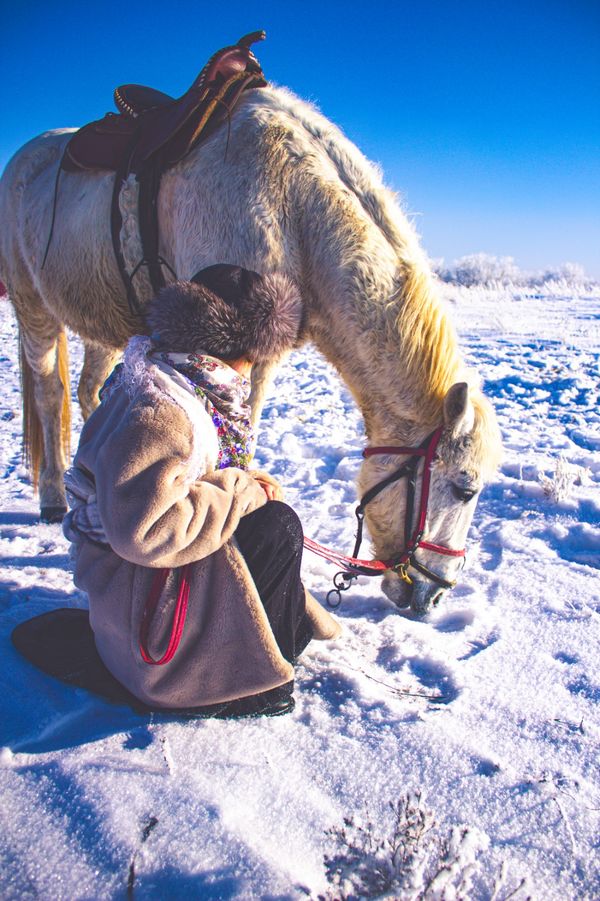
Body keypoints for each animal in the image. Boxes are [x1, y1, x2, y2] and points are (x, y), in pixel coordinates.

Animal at [0, 83, 502, 614]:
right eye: (465, 488)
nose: (434, 594)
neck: (295, 208)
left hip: (100, 325)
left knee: (88, 393)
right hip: (33, 308)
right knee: (49, 394)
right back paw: (52, 497)